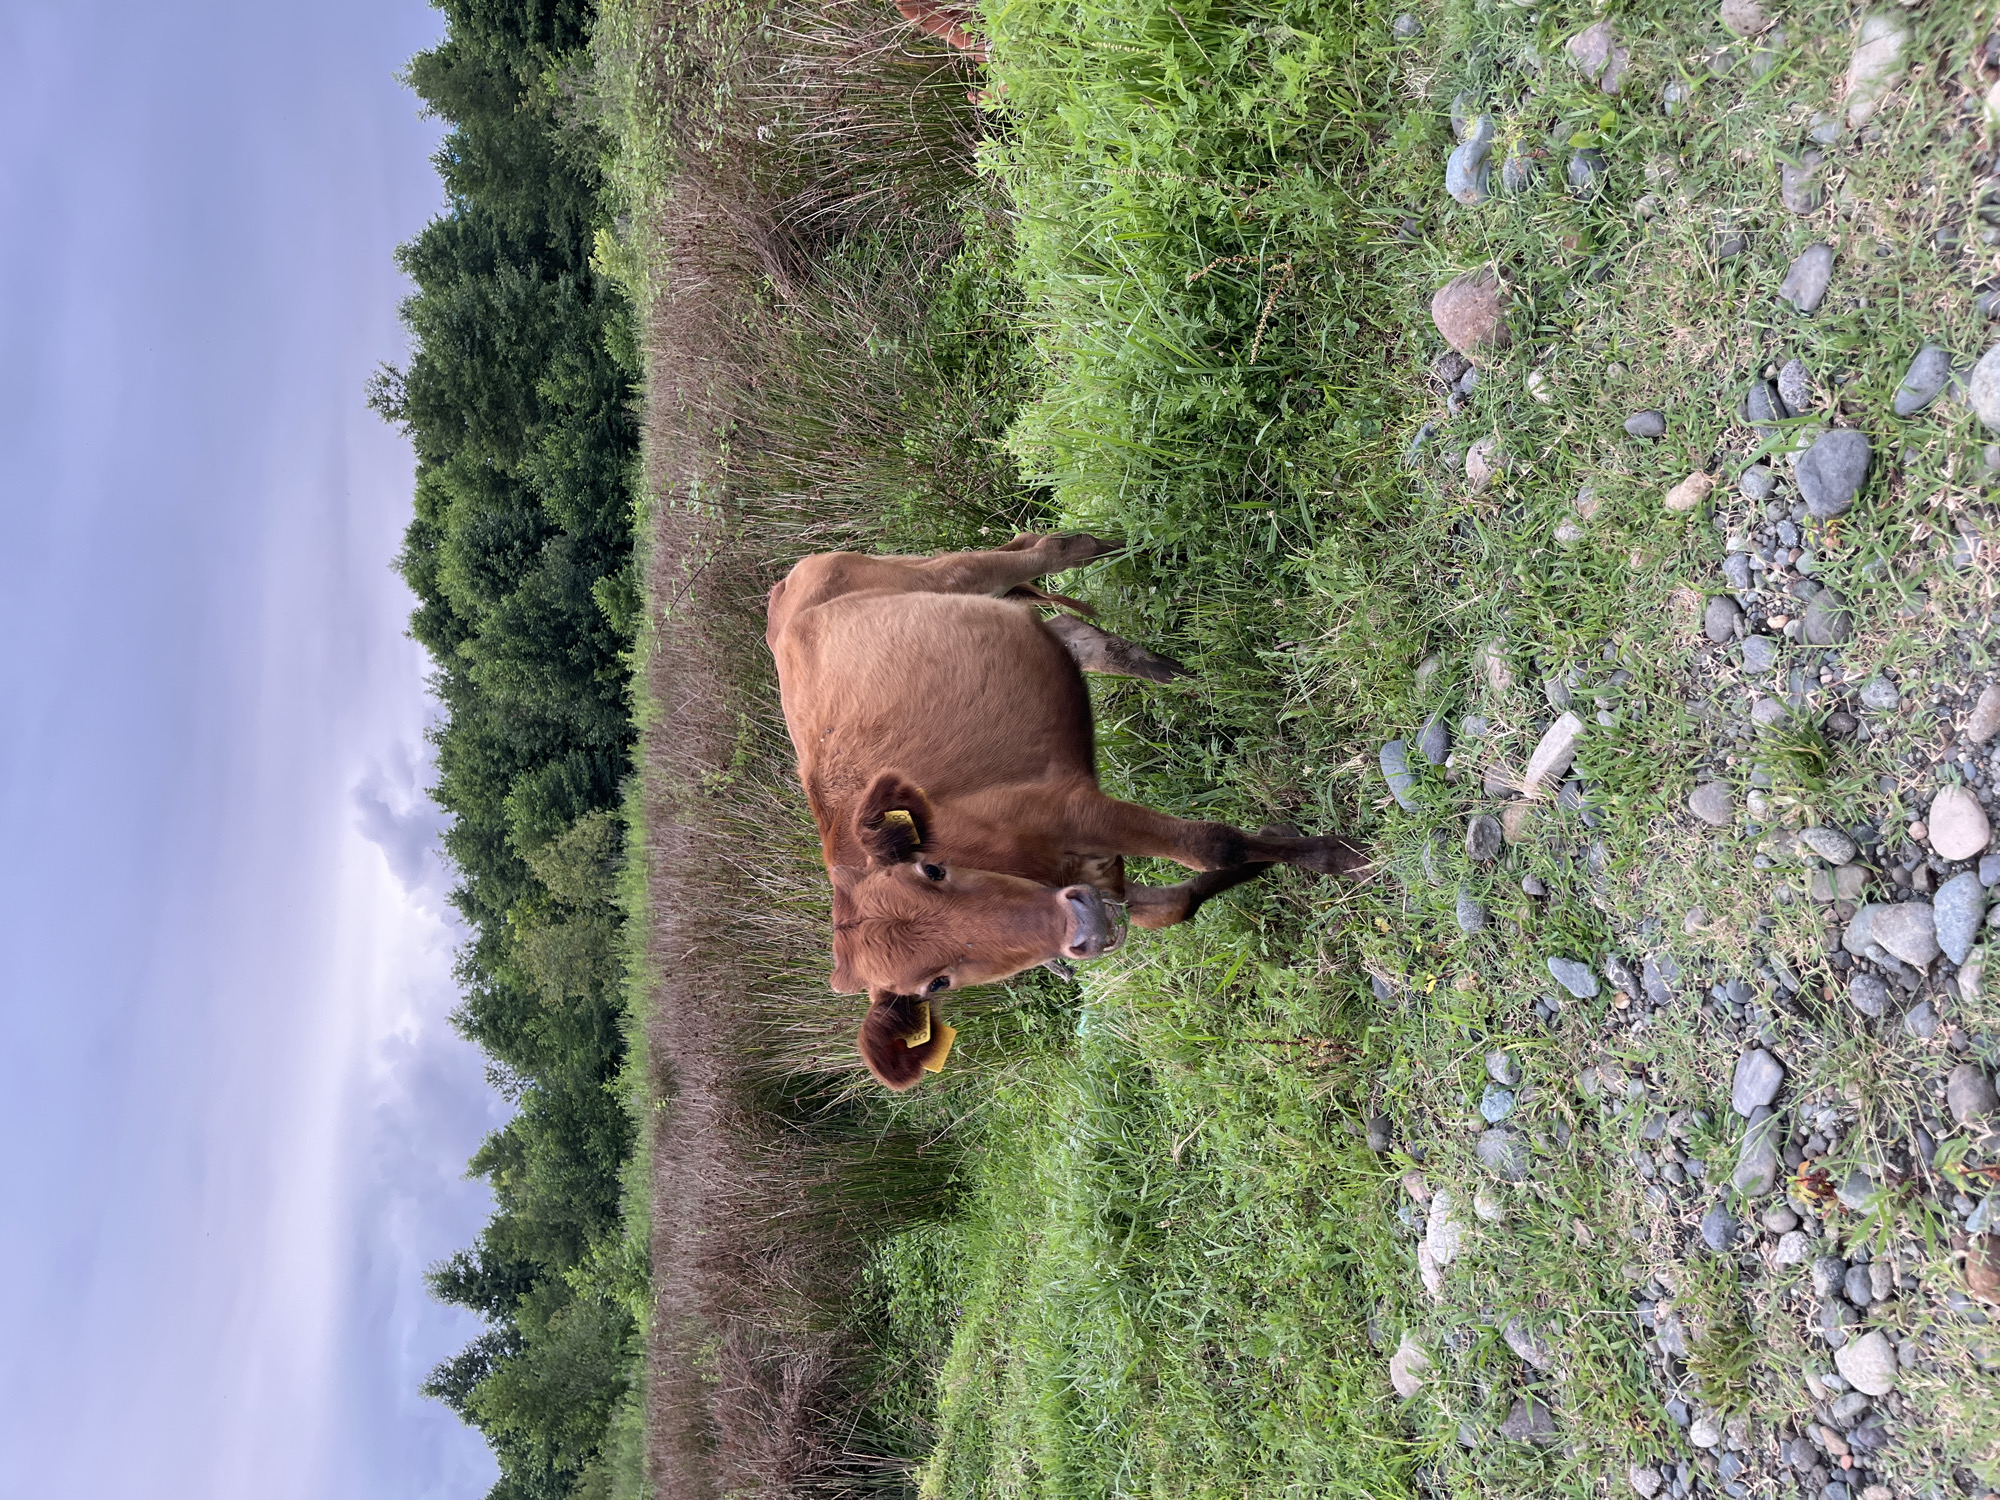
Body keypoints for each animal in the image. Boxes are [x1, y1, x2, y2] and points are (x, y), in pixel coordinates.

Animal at [765, 533, 1368, 1089]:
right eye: (936, 983)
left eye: (932, 869)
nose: (1082, 926)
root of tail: (785, 589)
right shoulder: (1102, 883)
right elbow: (1179, 903)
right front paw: (1281, 844)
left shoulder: (1076, 808)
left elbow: (1211, 844)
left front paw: (1342, 855)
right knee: (1077, 633)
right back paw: (1191, 678)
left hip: (955, 572)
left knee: (1050, 548)